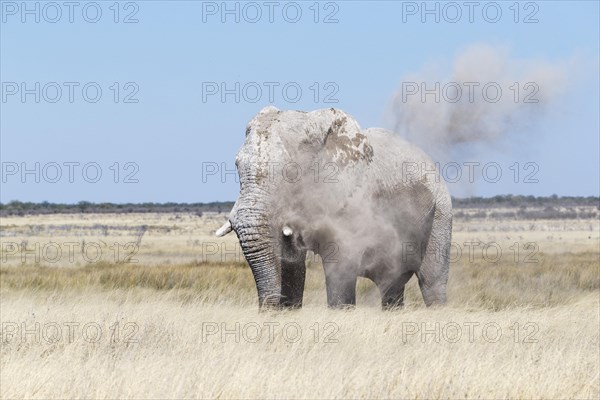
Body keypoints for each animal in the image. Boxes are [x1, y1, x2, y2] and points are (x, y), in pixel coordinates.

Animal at [214, 106, 450, 310]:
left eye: (291, 173)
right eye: (237, 166)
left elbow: (340, 268)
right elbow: (291, 267)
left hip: (440, 212)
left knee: (431, 283)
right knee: (391, 287)